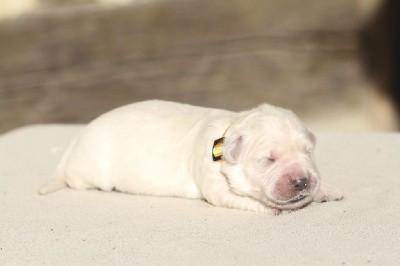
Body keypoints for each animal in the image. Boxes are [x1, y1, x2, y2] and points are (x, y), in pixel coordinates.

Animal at [39, 100, 342, 214]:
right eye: (268, 159)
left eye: (308, 152)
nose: (302, 181)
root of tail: (76, 141)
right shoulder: (213, 183)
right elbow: (234, 198)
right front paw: (269, 208)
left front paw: (327, 190)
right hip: (88, 170)